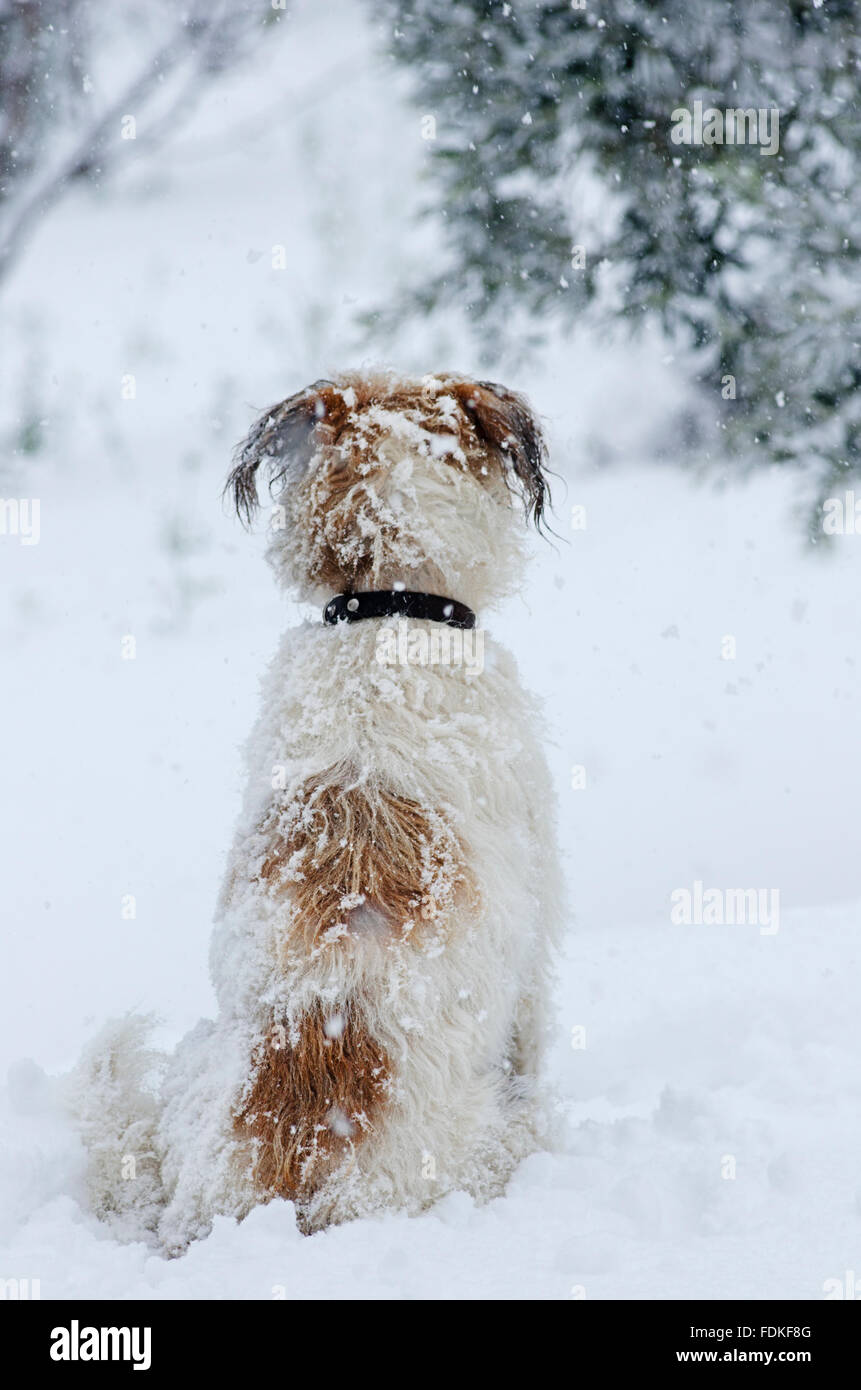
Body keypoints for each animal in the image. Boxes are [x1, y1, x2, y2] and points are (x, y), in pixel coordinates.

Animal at [74, 369, 564, 1251]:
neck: (388, 610)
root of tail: (284, 1189)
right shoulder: (539, 927)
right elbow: (534, 1028)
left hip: (195, 1063)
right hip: (498, 1136)